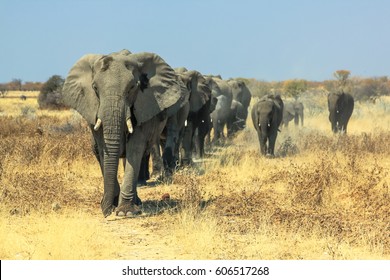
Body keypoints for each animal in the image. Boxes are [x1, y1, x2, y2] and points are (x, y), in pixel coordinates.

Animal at [61, 49, 188, 218]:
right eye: (95, 88)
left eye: (132, 87)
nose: (106, 212)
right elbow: (104, 150)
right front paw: (112, 206)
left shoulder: (144, 106)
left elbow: (135, 148)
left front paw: (125, 212)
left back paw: (136, 202)